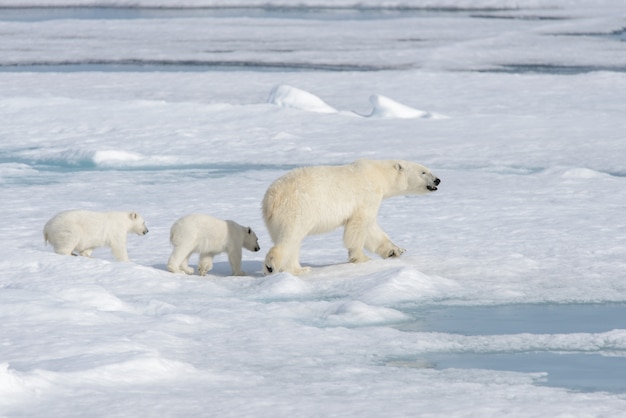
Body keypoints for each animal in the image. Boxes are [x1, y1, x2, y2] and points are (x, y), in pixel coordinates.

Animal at [262, 159, 438, 274]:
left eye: (428, 169)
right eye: (423, 172)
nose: (438, 180)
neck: (378, 174)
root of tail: (271, 198)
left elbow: (372, 229)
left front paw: (395, 250)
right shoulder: (367, 196)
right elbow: (359, 225)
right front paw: (362, 258)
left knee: (293, 242)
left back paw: (298, 269)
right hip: (297, 209)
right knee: (290, 237)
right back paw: (273, 265)